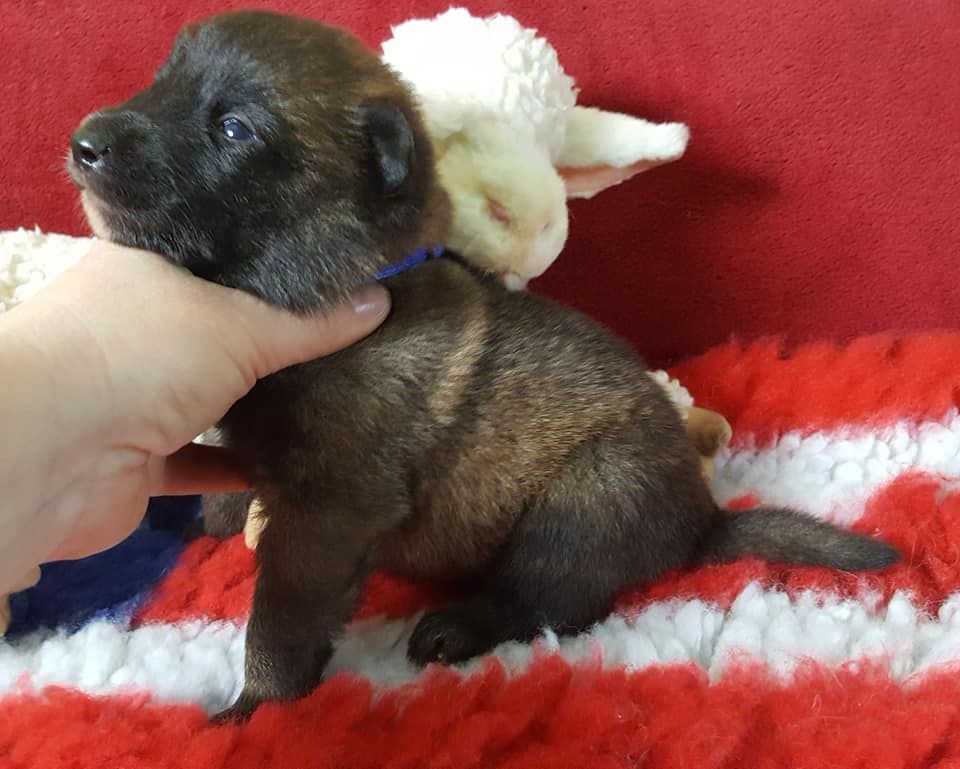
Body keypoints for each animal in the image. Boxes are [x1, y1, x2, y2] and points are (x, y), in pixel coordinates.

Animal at [68, 10, 899, 721]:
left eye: (234, 128)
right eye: (161, 81)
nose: (85, 141)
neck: (357, 272)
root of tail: (701, 520)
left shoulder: (328, 513)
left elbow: (280, 617)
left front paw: (256, 707)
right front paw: (218, 510)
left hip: (586, 496)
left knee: (554, 599)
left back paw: (458, 626)